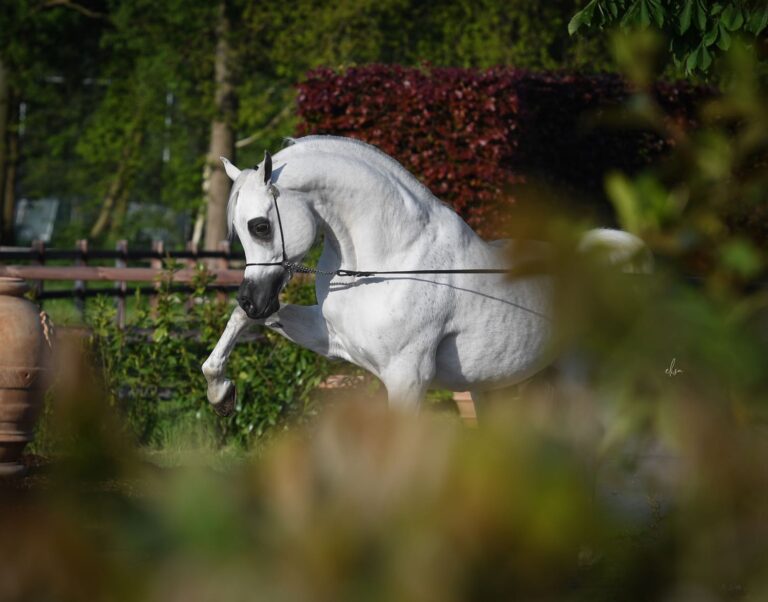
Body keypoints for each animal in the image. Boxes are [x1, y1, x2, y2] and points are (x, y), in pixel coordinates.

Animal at [201, 135, 644, 412]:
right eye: (240, 230)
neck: (394, 260)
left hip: (584, 379)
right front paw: (221, 392)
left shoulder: (406, 376)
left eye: (260, 226)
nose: (252, 298)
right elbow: (242, 322)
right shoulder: (331, 338)